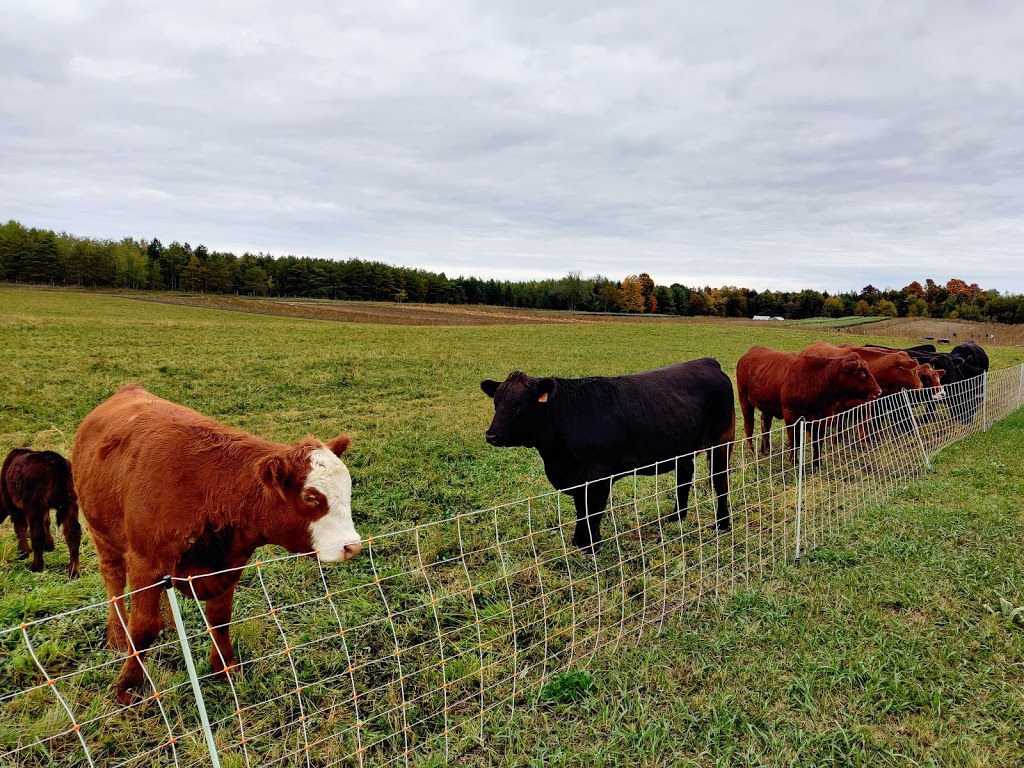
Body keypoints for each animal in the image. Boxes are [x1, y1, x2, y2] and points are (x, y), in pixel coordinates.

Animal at [73, 387, 360, 708]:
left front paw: (225, 666)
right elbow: (143, 627)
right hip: (102, 535)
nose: (352, 546)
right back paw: (116, 636)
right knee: (112, 581)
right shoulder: (146, 561)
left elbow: (220, 619)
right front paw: (128, 686)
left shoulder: (228, 564)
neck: (208, 488)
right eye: (311, 497)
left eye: (348, 490)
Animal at [479, 360, 737, 552]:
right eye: (496, 403)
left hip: (722, 441)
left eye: (519, 405)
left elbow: (593, 512)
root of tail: (708, 363)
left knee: (720, 481)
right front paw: (579, 542)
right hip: (682, 448)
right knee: (684, 477)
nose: (491, 435)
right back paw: (676, 517)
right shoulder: (578, 479)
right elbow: (581, 510)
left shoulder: (598, 478)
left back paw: (722, 523)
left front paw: (591, 546)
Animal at [737, 348, 880, 466]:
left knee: (765, 424)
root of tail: (752, 351)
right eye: (861, 373)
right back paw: (750, 450)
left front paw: (817, 463)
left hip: (767, 404)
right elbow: (794, 441)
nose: (878, 391)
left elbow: (818, 442)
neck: (817, 381)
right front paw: (794, 461)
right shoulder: (791, 415)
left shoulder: (821, 418)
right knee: (749, 424)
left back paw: (766, 450)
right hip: (744, 397)